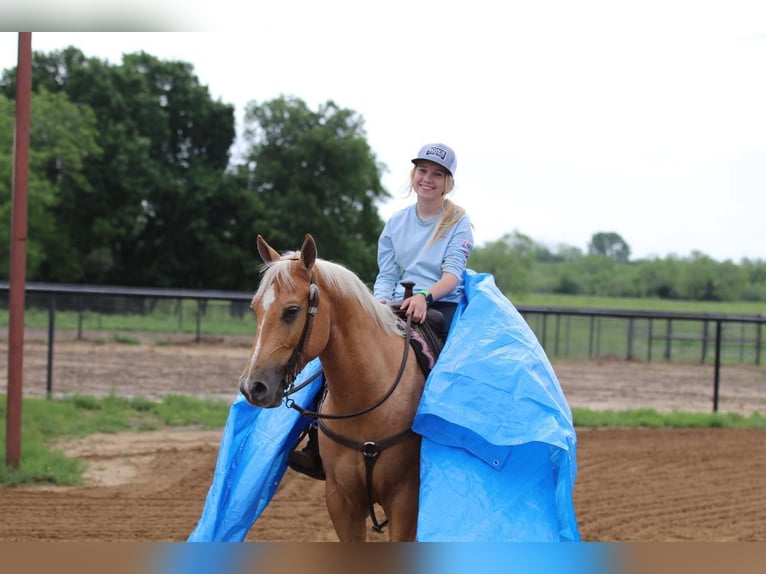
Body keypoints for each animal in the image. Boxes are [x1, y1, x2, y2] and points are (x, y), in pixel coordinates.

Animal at [238, 233, 426, 540]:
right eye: (255, 308)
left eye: (292, 310)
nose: (252, 387)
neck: (368, 398)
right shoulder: (341, 501)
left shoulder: (405, 504)